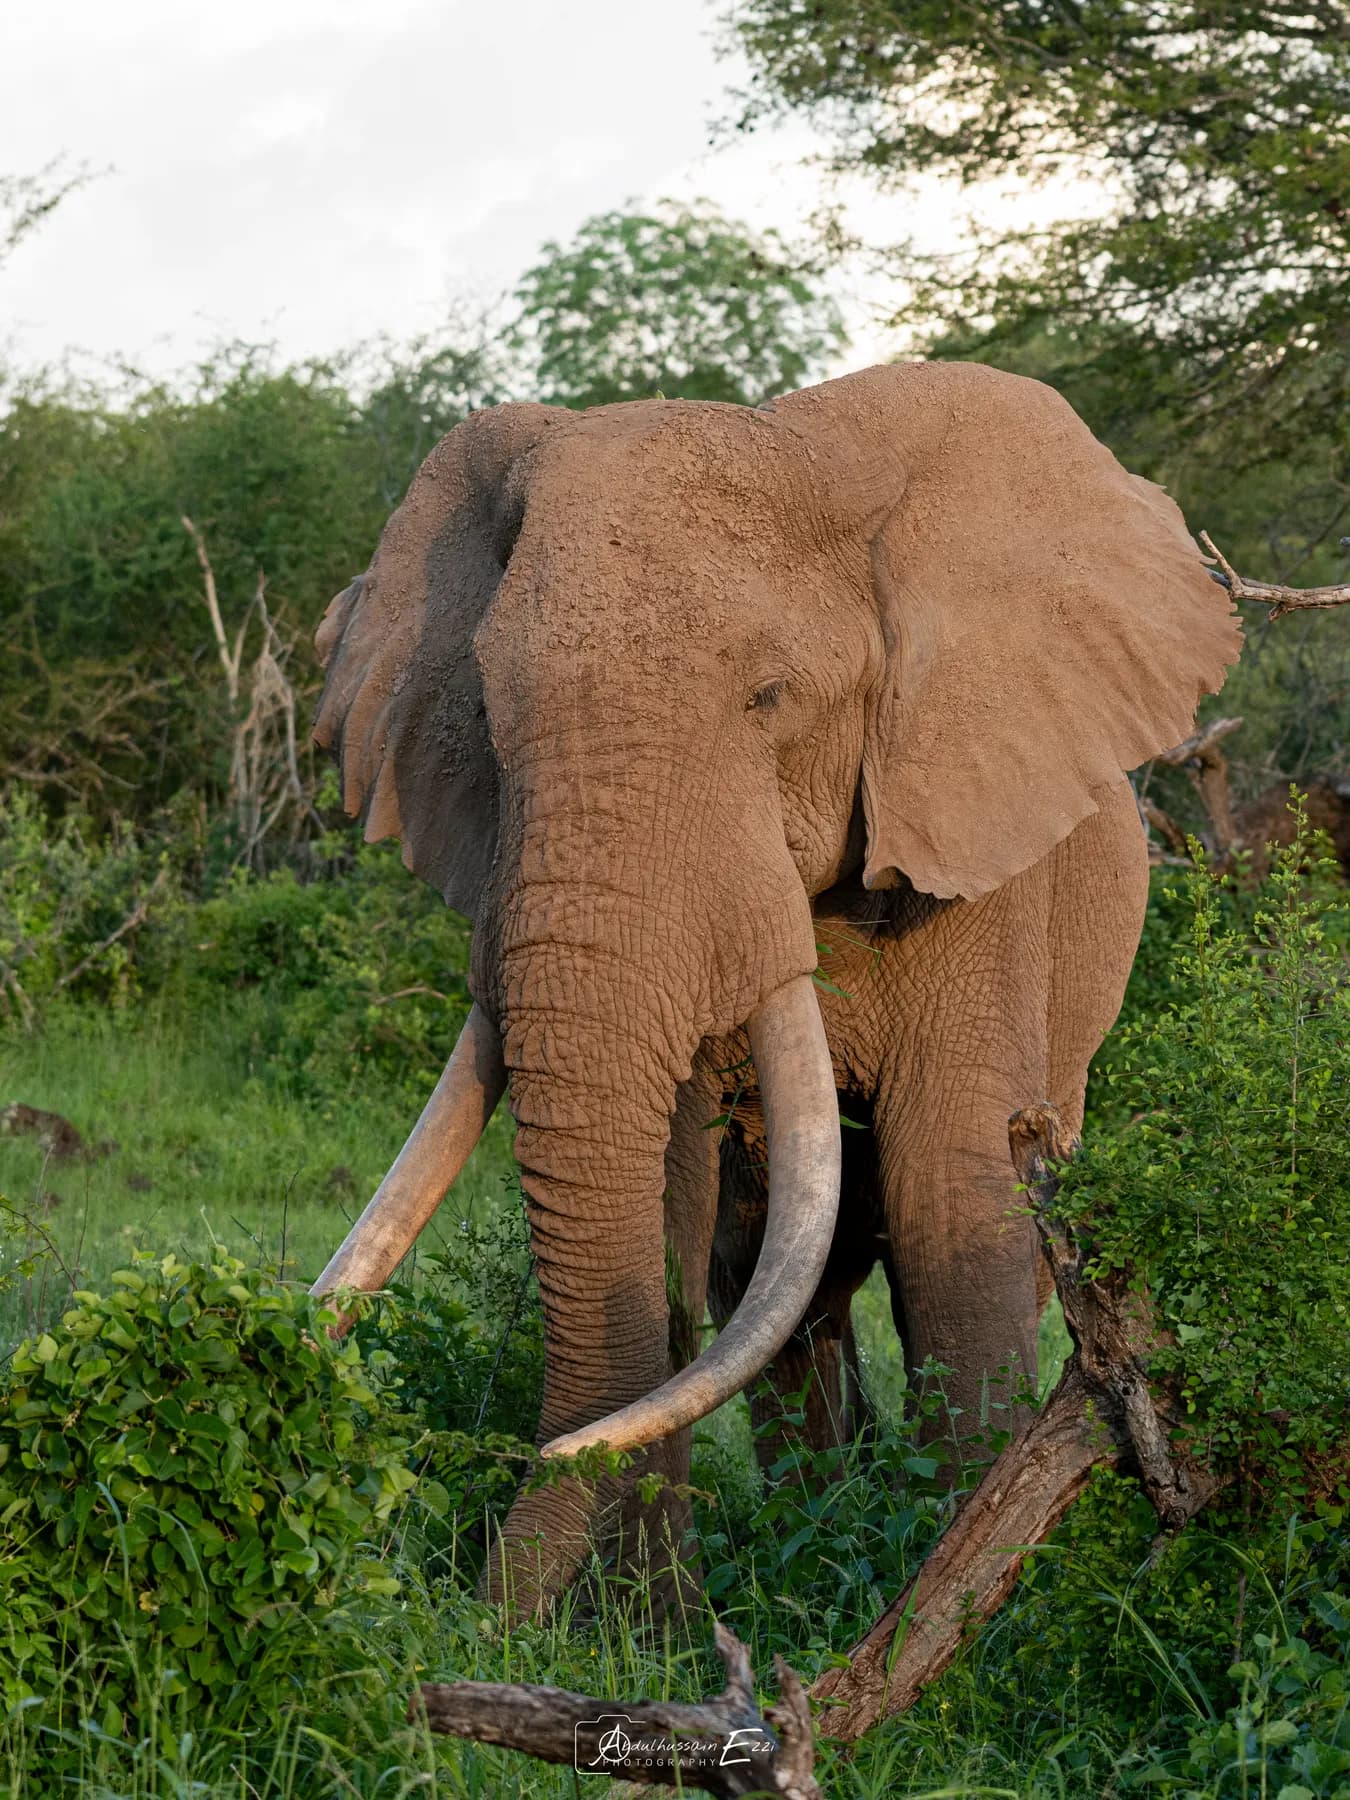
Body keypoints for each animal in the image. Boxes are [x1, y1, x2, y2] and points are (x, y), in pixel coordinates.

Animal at [308, 361, 1241, 1618]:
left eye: (769, 696)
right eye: (490, 715)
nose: (473, 1621)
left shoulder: (978, 828)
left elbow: (955, 1196)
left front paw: (955, 1606)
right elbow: (671, 1198)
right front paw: (645, 1634)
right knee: (773, 1278)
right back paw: (815, 1526)